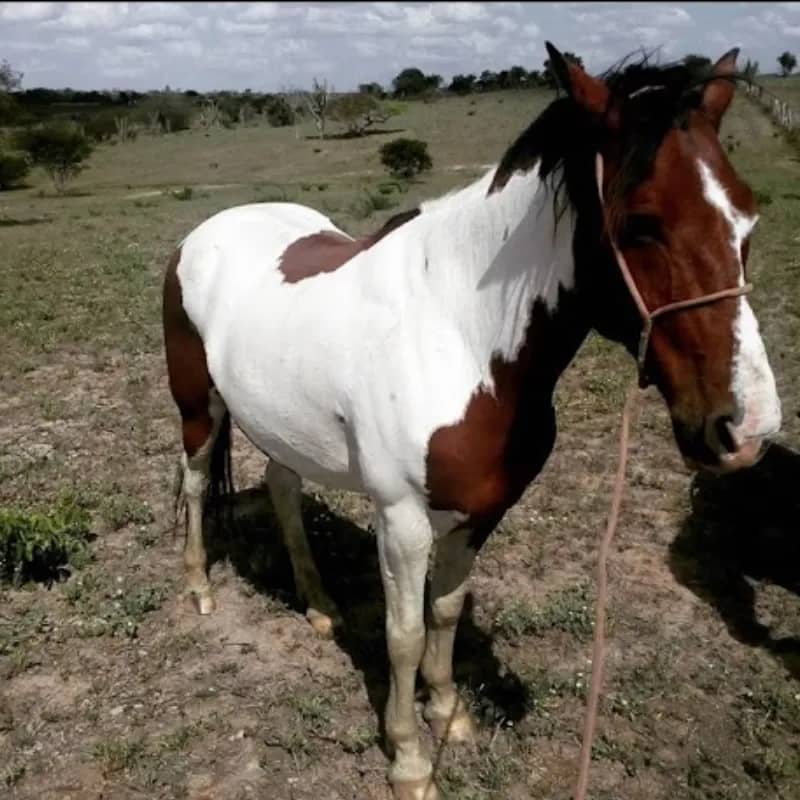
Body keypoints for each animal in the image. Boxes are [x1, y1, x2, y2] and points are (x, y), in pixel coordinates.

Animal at [162, 44, 781, 800]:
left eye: (748, 219)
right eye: (640, 222)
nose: (746, 429)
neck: (457, 328)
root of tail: (206, 232)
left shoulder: (480, 511)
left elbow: (447, 611)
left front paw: (449, 715)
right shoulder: (401, 518)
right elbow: (401, 631)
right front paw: (408, 759)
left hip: (283, 425)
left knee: (283, 490)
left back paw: (318, 605)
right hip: (198, 408)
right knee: (194, 482)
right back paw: (199, 589)